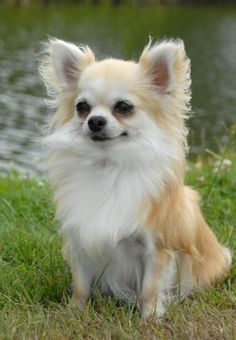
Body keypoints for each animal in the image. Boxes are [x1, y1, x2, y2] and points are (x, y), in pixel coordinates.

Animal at [39, 38, 231, 318]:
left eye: (123, 107)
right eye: (81, 107)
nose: (95, 121)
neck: (109, 165)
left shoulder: (156, 248)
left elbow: (150, 287)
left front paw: (149, 318)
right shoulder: (81, 240)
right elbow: (81, 284)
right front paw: (74, 311)